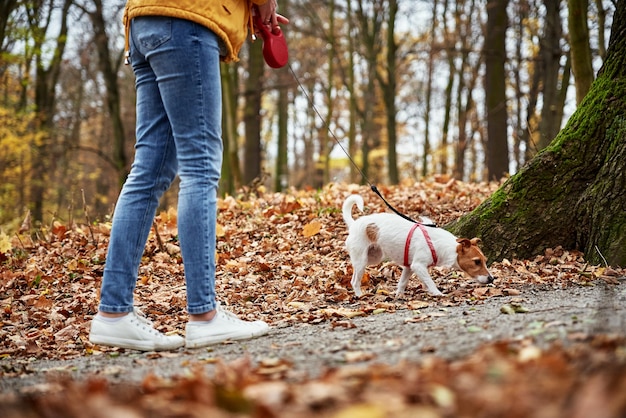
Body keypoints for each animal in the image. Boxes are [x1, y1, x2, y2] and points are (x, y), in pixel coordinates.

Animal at [342, 193, 492, 298]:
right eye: (476, 262)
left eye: (485, 261)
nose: (491, 278)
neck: (440, 244)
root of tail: (354, 224)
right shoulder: (418, 266)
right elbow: (430, 282)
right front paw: (438, 293)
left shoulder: (409, 267)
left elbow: (402, 283)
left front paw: (398, 295)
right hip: (361, 260)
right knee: (354, 281)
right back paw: (359, 296)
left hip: (373, 257)